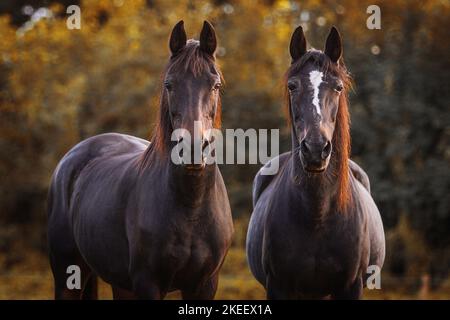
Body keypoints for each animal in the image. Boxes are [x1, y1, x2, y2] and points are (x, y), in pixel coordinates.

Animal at [47, 20, 234, 300]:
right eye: (169, 85)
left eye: (216, 85)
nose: (192, 148)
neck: (190, 206)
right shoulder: (148, 282)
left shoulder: (205, 284)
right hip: (68, 276)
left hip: (119, 283)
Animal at [246, 26, 386, 298]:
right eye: (292, 86)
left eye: (338, 87)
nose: (315, 149)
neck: (317, 214)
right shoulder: (278, 285)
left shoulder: (350, 286)